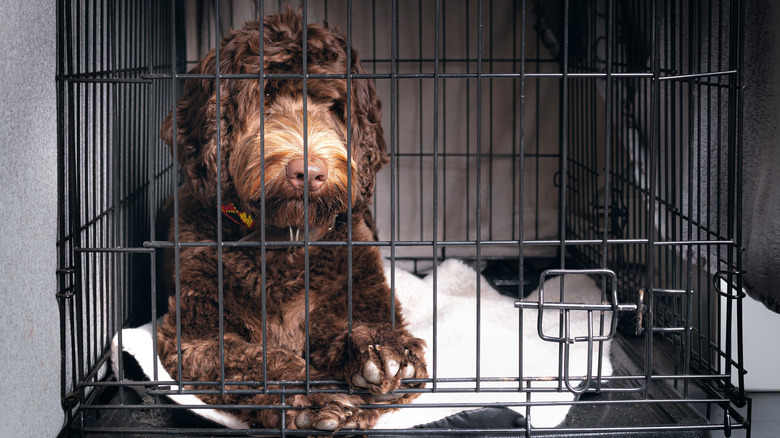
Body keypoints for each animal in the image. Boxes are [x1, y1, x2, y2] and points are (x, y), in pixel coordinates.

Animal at [155, 8, 430, 432]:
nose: (310, 172)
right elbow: (256, 359)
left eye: (334, 105)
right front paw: (312, 397)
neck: (286, 240)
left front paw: (386, 350)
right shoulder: (195, 336)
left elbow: (351, 324)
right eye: (265, 96)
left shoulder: (358, 284)